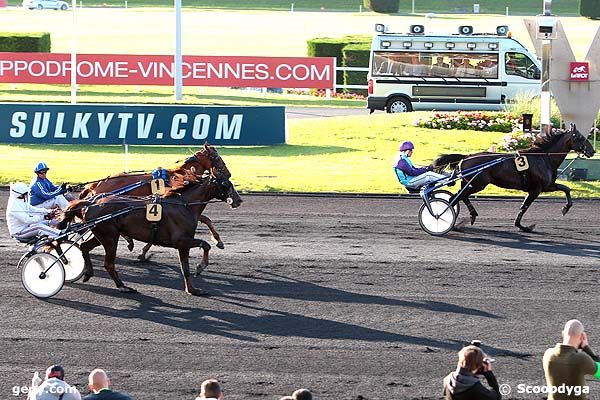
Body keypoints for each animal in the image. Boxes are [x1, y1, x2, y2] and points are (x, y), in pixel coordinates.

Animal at [57, 177, 243, 296]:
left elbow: (185, 268)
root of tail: (91, 202)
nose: (238, 200)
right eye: (225, 183)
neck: (184, 206)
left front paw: (193, 290)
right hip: (110, 237)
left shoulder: (182, 245)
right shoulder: (181, 240)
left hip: (102, 234)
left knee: (84, 247)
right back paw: (123, 287)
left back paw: (88, 273)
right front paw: (200, 267)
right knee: (108, 263)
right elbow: (205, 244)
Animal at [79, 144, 230, 260]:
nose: (228, 174)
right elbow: (205, 218)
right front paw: (218, 240)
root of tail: (95, 184)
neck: (180, 176)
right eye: (217, 157)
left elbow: (205, 218)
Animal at [432, 124, 596, 231]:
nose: (593, 151)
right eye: (580, 137)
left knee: (460, 196)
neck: (544, 157)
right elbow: (524, 206)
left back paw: (471, 216)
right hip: (478, 184)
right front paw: (522, 226)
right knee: (455, 197)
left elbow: (566, 188)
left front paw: (565, 208)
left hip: (471, 184)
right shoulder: (536, 189)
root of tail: (466, 157)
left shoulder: (547, 186)